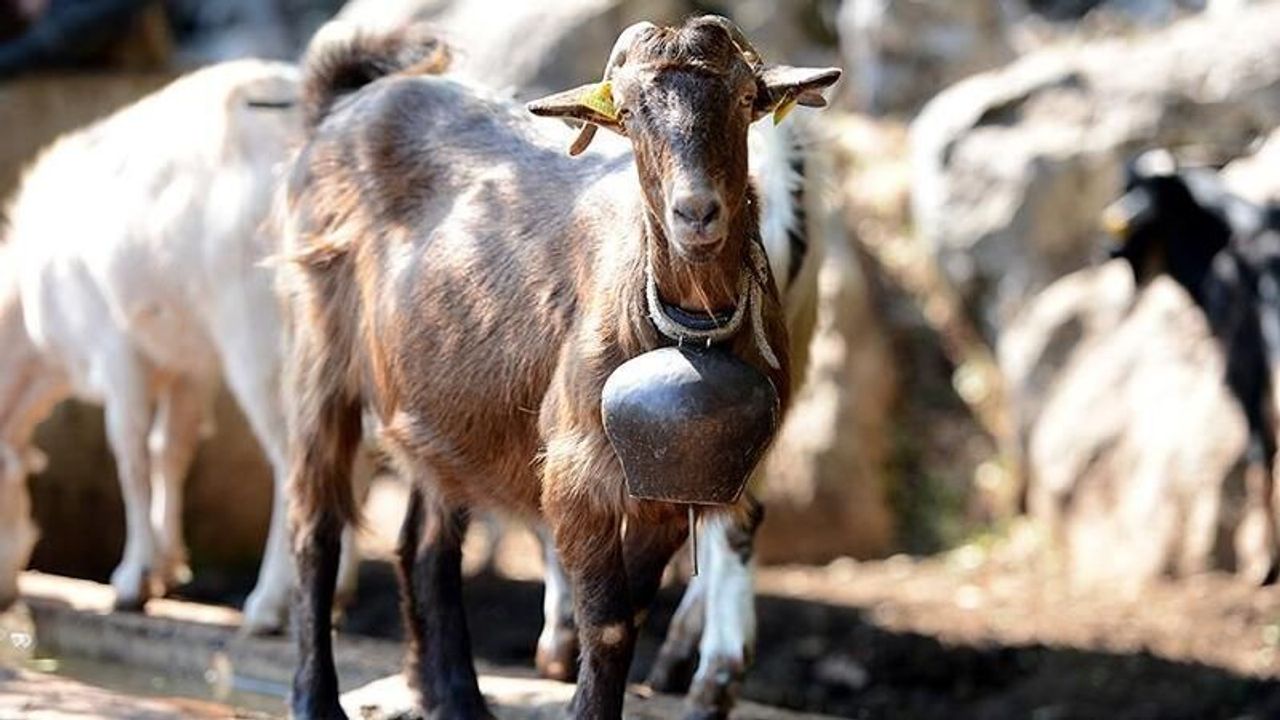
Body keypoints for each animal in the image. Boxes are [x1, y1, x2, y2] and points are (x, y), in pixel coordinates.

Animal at [0, 59, 359, 631]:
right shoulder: (187, 362)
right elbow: (170, 447)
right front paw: (168, 565)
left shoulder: (116, 349)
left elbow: (129, 453)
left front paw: (131, 581)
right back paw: (335, 591)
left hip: (260, 329)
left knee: (292, 457)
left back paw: (268, 605)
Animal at [281, 17, 838, 720]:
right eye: (627, 111)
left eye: (745, 99)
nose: (696, 213)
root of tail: (342, 105)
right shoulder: (577, 470)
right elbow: (608, 621)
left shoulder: (668, 486)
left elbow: (630, 612)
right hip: (319, 351)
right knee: (316, 525)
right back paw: (317, 698)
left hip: (440, 403)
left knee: (426, 543)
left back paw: (456, 698)